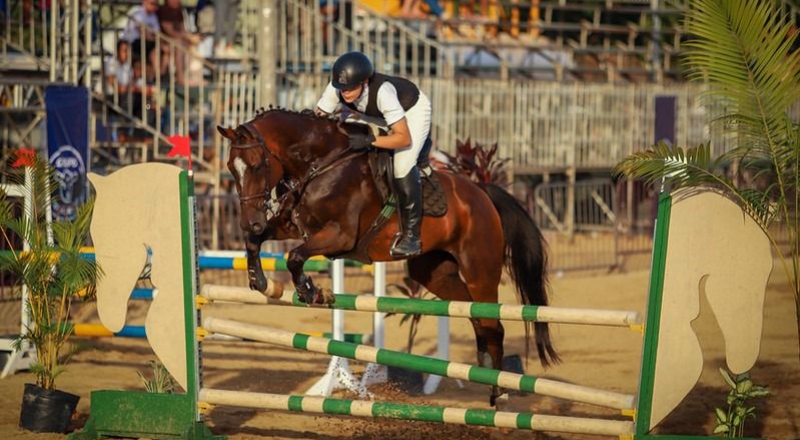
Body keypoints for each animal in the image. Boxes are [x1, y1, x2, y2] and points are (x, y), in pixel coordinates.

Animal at [217, 107, 560, 405]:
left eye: (257, 165)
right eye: (232, 168)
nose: (249, 220)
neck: (321, 165)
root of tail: (483, 193)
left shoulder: (339, 236)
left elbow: (294, 257)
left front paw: (313, 292)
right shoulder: (291, 226)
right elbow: (256, 242)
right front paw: (261, 282)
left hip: (480, 270)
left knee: (493, 323)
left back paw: (498, 392)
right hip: (434, 272)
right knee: (475, 317)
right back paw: (485, 373)